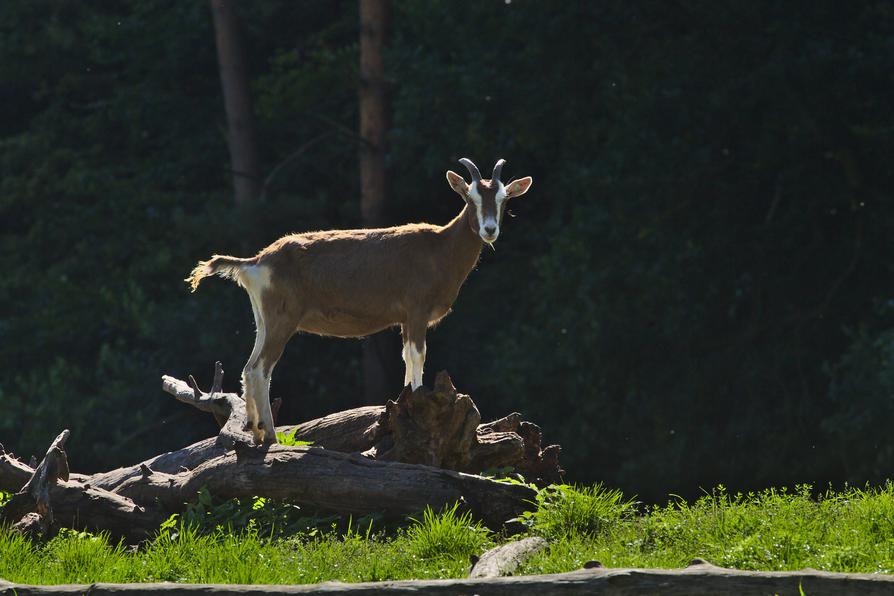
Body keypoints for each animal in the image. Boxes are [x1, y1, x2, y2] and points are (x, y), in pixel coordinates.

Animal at [187, 158, 532, 442]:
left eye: (503, 198)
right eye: (470, 197)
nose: (489, 229)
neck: (439, 248)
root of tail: (256, 262)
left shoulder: (404, 319)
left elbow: (407, 357)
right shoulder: (416, 310)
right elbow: (418, 355)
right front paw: (418, 397)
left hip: (263, 320)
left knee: (248, 368)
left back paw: (256, 432)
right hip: (281, 320)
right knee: (261, 368)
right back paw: (269, 434)